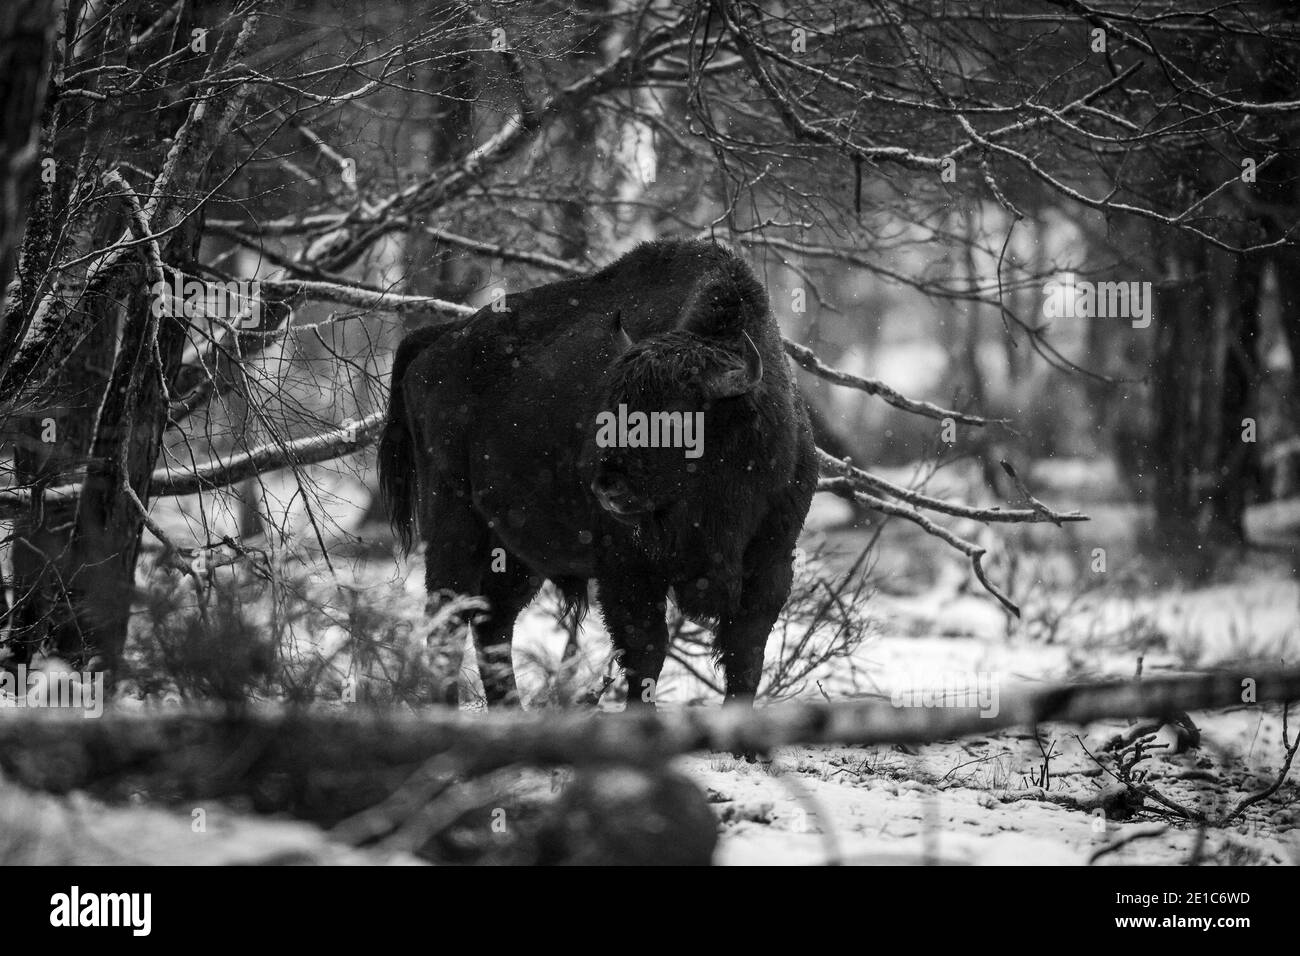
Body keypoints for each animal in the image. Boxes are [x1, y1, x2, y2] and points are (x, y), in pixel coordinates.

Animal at [377, 236, 816, 707]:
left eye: (677, 419)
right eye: (613, 408)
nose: (608, 487)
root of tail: (433, 343)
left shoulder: (771, 565)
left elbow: (745, 658)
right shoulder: (627, 571)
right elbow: (647, 651)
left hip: (516, 552)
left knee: (492, 622)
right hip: (453, 524)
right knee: (448, 619)